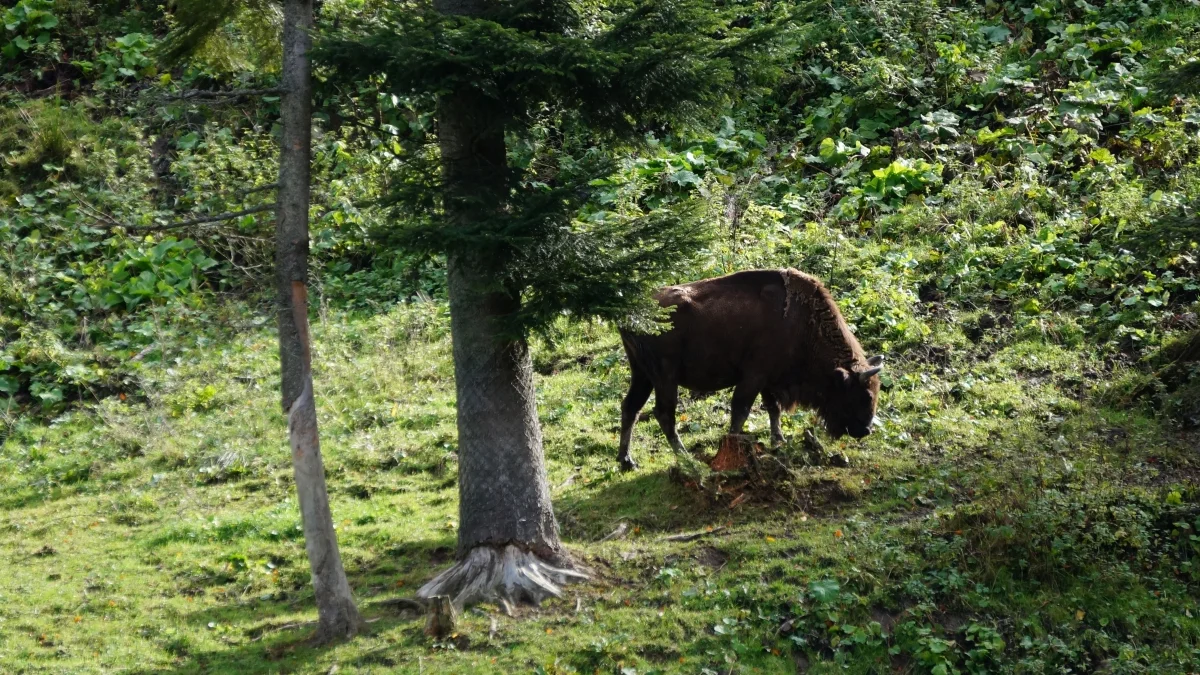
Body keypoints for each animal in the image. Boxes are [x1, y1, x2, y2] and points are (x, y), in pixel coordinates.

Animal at [619, 266, 883, 468]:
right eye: (865, 395)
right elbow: (741, 410)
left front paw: (778, 441)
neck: (799, 321)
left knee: (631, 407)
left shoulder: (768, 380)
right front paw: (734, 446)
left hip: (642, 374)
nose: (865, 430)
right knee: (664, 413)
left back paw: (627, 462)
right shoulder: (754, 377)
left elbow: (773, 409)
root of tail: (631, 316)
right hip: (665, 377)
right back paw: (685, 457)